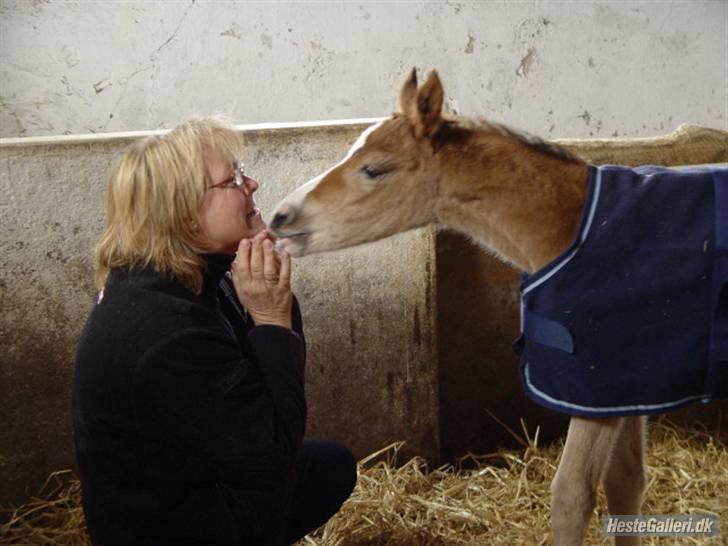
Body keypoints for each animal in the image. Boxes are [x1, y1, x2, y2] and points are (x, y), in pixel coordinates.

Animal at [270, 70, 724, 540]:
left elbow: (571, 496)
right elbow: (625, 483)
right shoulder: (625, 386)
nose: (280, 216)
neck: (570, 224)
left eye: (373, 169)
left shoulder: (593, 384)